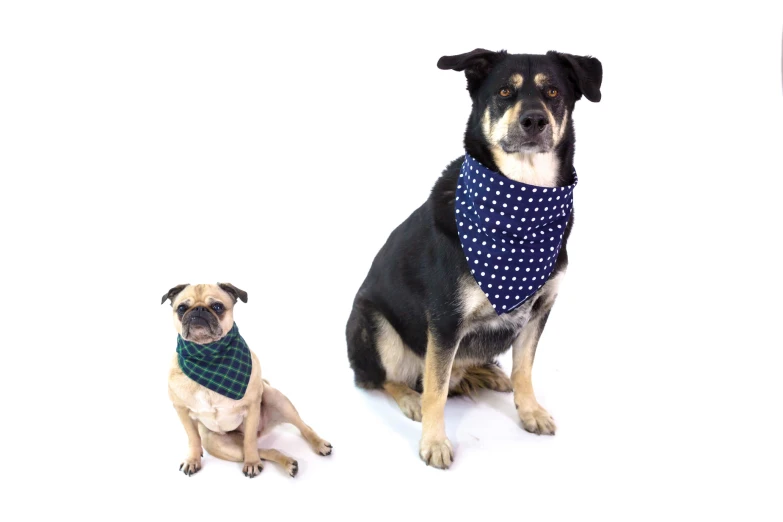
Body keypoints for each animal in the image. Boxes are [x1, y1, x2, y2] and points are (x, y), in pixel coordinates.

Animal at [346, 48, 604, 468]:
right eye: (504, 91)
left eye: (552, 91)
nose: (534, 120)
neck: (521, 203)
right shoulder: (446, 319)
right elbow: (435, 389)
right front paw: (434, 441)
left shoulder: (541, 308)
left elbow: (524, 369)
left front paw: (529, 411)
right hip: (373, 322)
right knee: (384, 378)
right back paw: (410, 397)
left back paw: (483, 374)